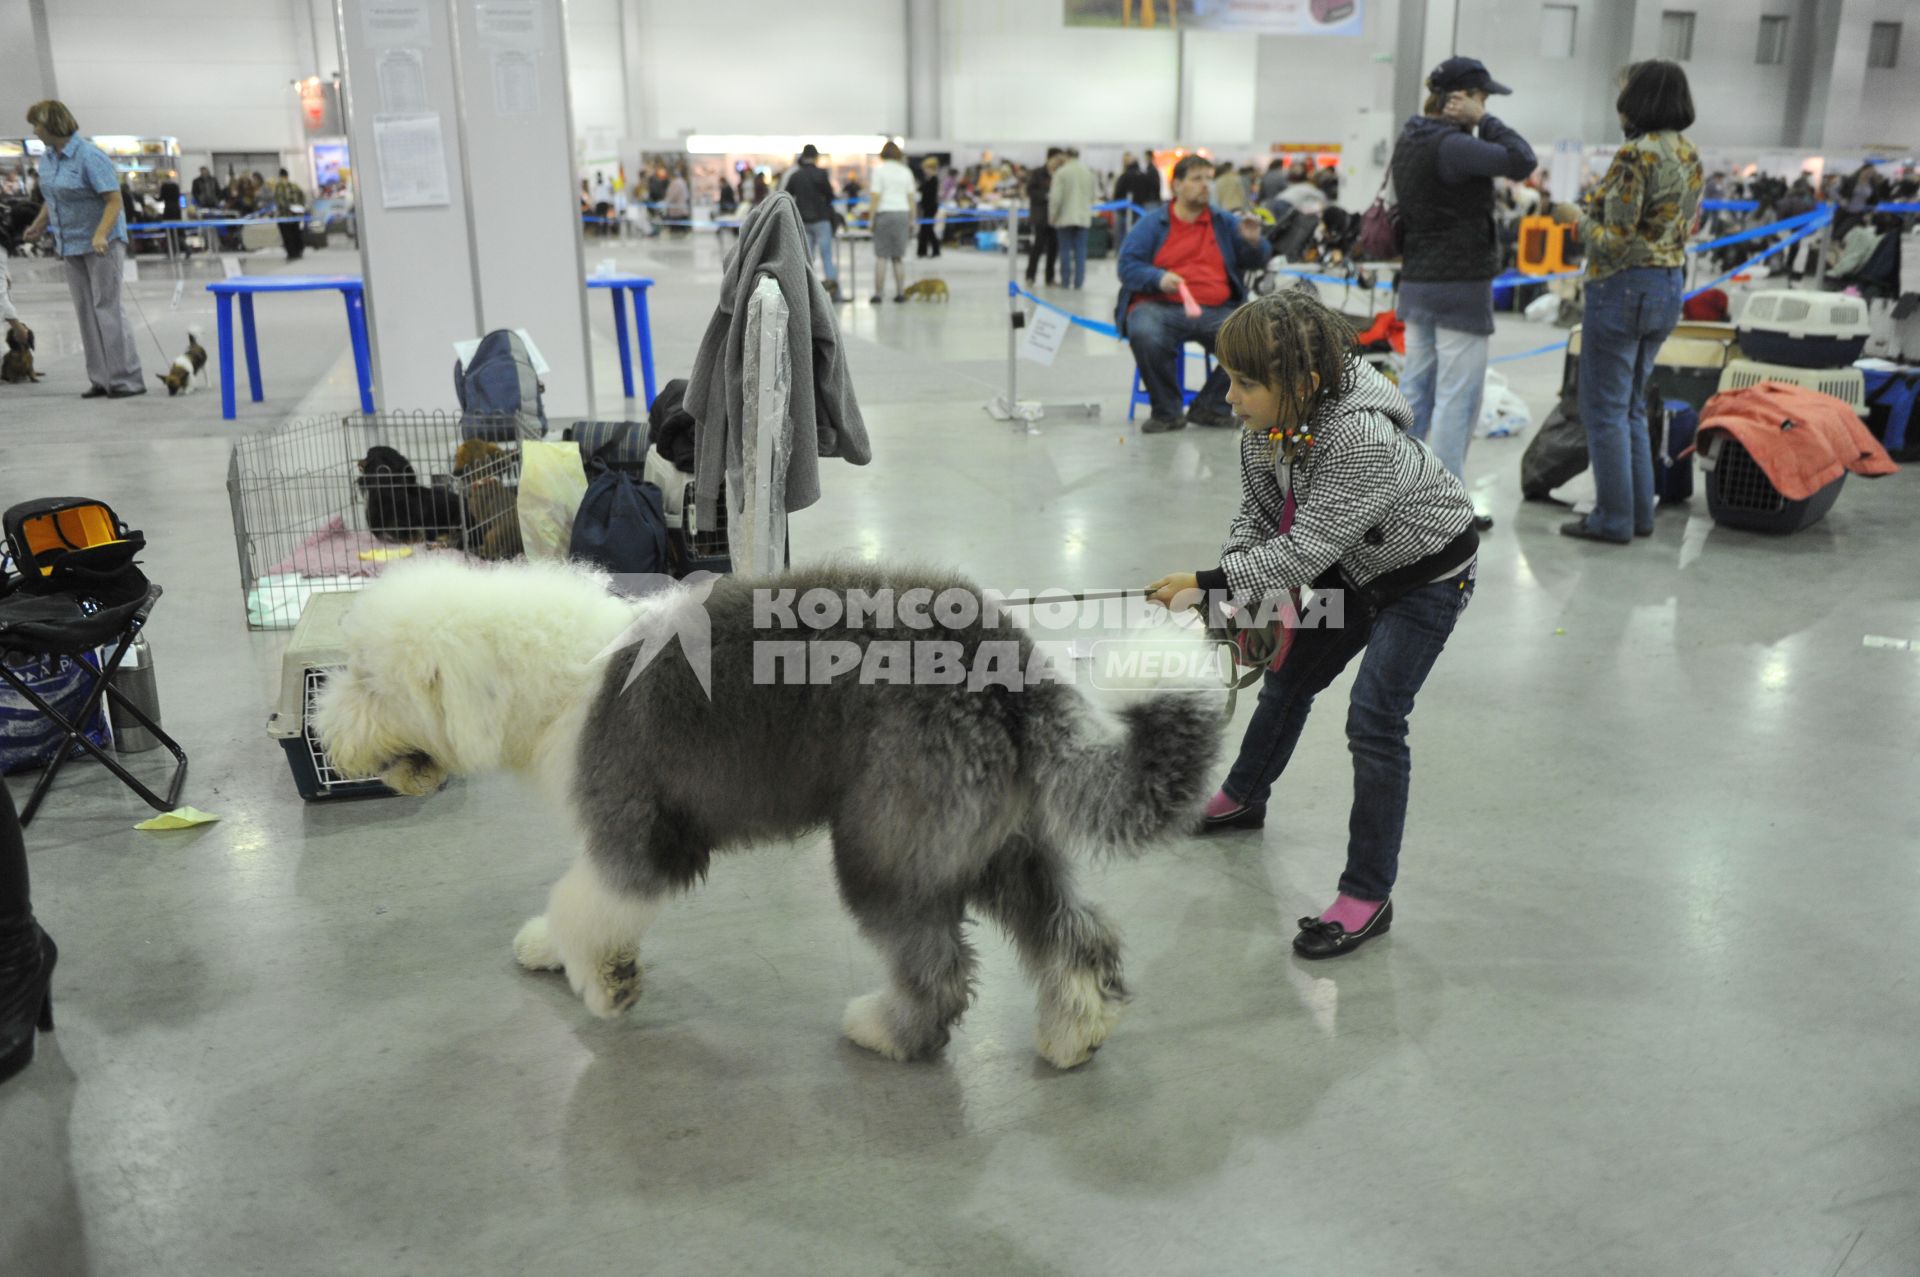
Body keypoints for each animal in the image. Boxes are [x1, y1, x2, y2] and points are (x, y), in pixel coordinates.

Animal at [312, 556, 1213, 1067]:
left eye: (366, 675)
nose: (325, 735)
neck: (560, 677)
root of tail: (1008, 665)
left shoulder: (636, 834)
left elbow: (585, 900)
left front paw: (606, 982)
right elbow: (567, 904)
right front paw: (545, 949)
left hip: (885, 843)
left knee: (942, 968)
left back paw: (886, 1031)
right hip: (992, 835)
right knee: (1075, 930)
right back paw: (1076, 1033)